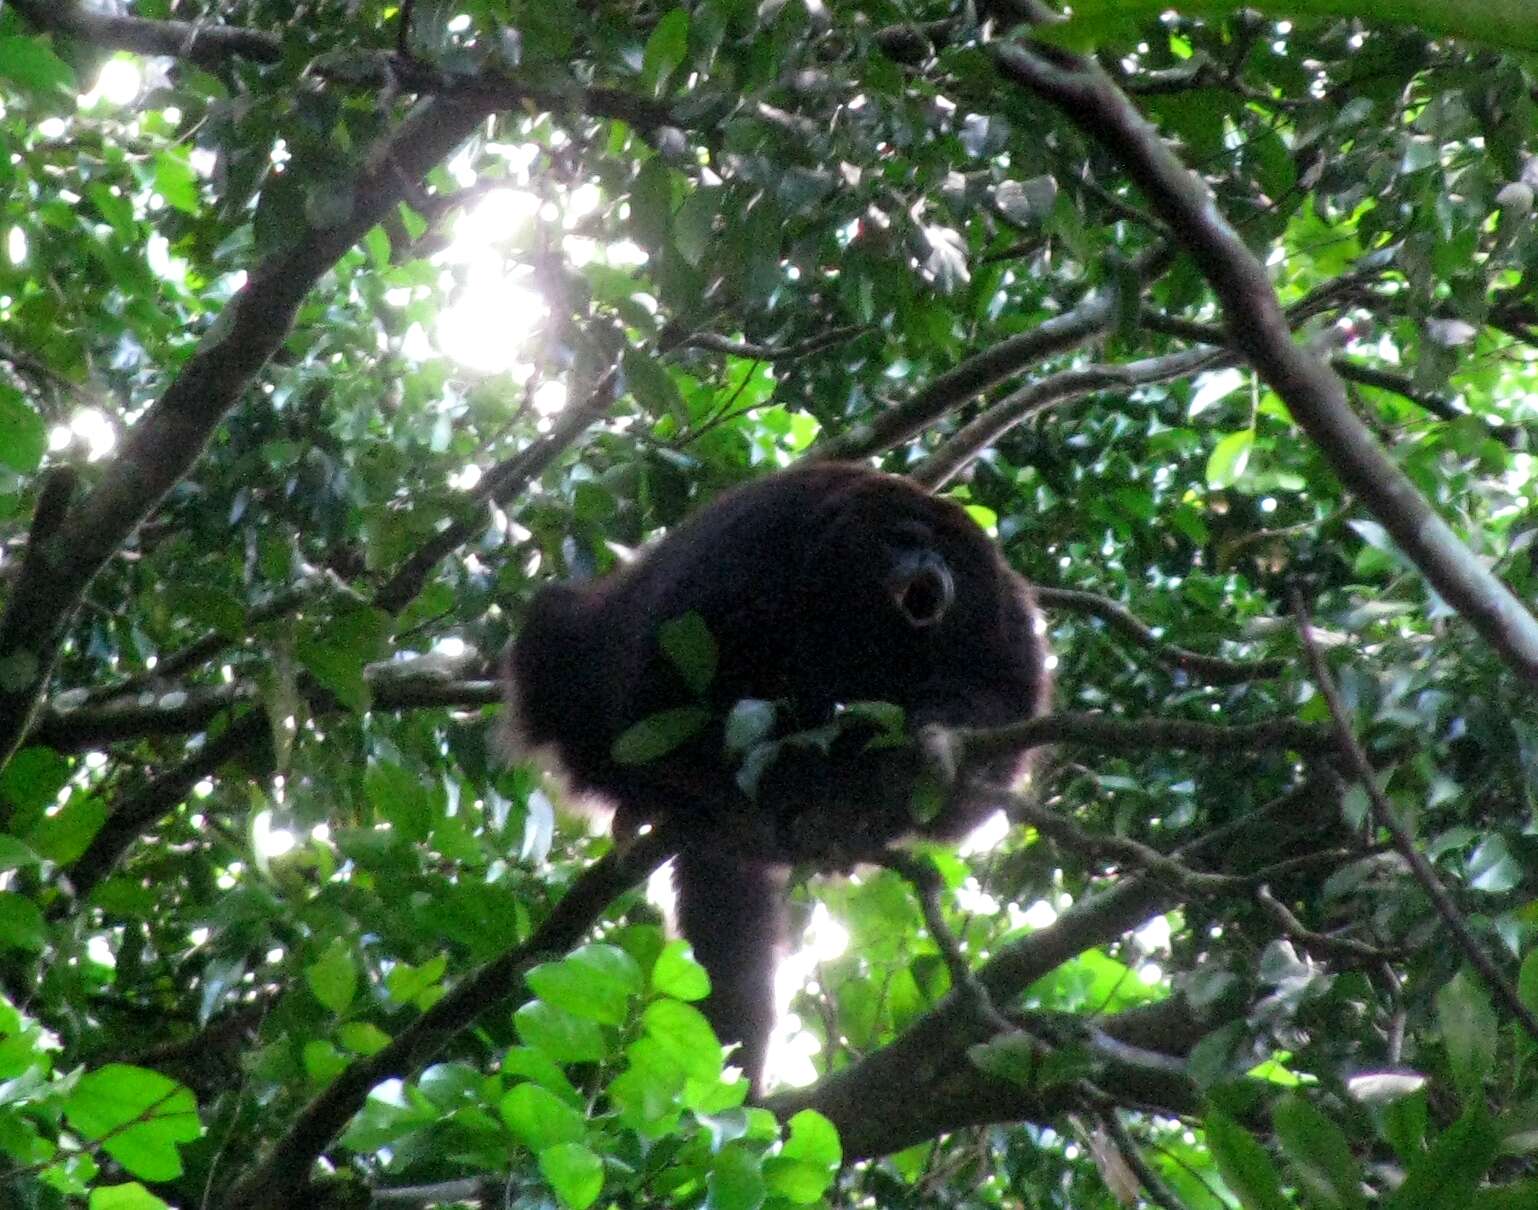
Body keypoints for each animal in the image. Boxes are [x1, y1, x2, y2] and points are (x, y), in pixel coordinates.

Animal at [510, 464, 1051, 1088]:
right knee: (559, 644)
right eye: (904, 539)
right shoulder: (765, 533)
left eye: (951, 557)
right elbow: (670, 664)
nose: (933, 567)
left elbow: (1003, 712)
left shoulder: (1005, 613)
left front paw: (932, 738)